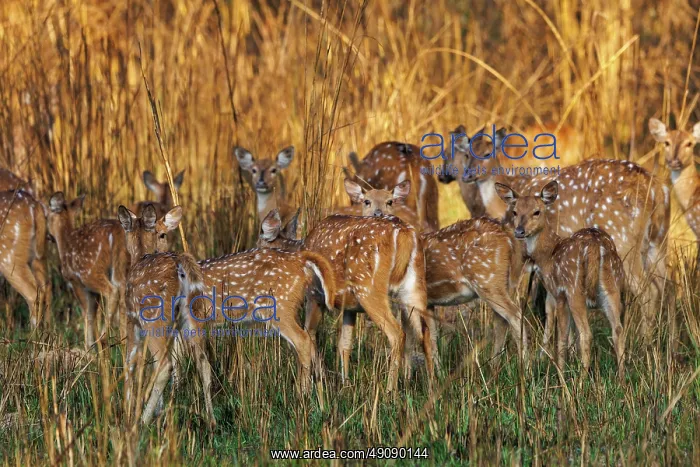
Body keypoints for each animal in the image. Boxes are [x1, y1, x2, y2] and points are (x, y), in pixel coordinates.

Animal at [47, 192, 129, 348]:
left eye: (46, 214)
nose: (48, 236)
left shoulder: (76, 281)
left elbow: (87, 314)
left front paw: (88, 346)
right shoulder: (92, 292)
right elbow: (92, 314)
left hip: (90, 272)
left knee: (112, 291)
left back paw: (103, 338)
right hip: (123, 270)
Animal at [257, 210, 436, 392]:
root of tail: (405, 233)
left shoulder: (314, 295)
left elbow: (309, 333)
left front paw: (313, 383)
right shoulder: (350, 308)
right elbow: (344, 344)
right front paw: (345, 384)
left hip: (368, 288)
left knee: (397, 333)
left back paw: (389, 391)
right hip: (415, 287)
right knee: (426, 334)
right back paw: (432, 390)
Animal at [455, 127, 669, 344]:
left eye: (486, 153)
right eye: (466, 154)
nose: (467, 175)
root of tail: (656, 190)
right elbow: (547, 303)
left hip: (624, 239)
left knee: (647, 290)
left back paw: (643, 340)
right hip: (657, 240)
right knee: (665, 285)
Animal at [495, 181, 625, 376]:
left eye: (537, 211)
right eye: (515, 211)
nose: (519, 231)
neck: (548, 255)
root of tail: (596, 245)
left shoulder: (558, 293)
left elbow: (560, 334)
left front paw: (559, 369)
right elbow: (570, 335)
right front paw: (569, 362)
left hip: (574, 288)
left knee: (587, 334)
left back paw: (581, 379)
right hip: (613, 285)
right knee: (617, 330)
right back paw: (621, 377)